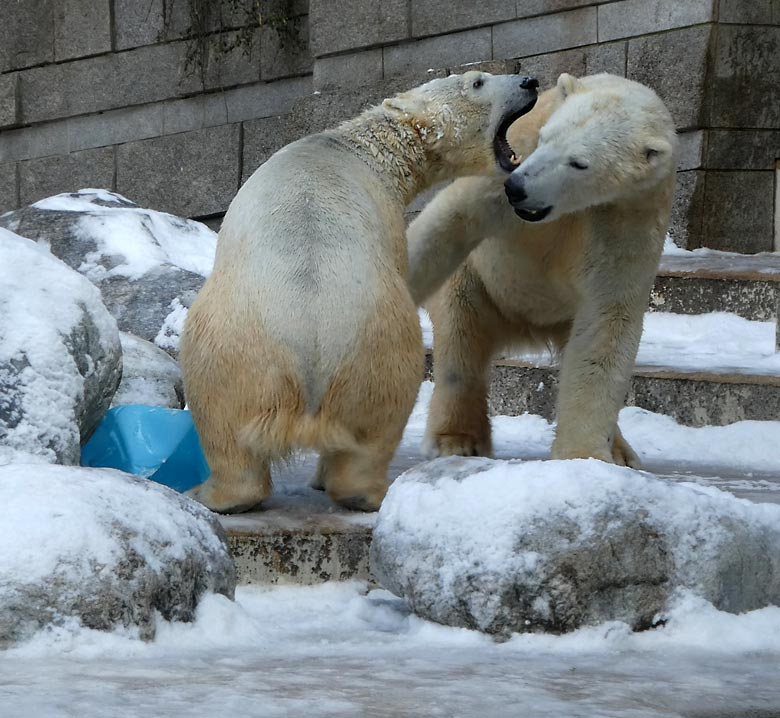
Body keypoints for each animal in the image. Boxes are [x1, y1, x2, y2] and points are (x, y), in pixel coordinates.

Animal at [180, 71, 540, 512]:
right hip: (357, 351)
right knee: (371, 427)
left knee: (235, 434)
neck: (357, 145)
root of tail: (306, 343)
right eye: (477, 81)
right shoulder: (390, 222)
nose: (529, 80)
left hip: (257, 359)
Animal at [408, 73, 676, 466]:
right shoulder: (506, 173)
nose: (518, 188)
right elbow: (448, 223)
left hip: (561, 317)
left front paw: (584, 455)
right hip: (477, 283)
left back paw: (622, 452)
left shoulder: (628, 216)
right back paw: (455, 439)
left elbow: (606, 325)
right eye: (547, 137)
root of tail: (525, 330)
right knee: (461, 340)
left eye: (578, 162)